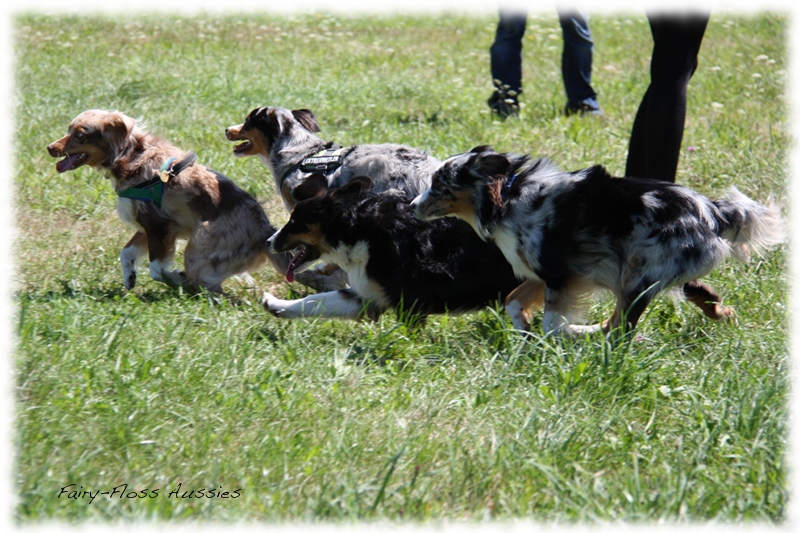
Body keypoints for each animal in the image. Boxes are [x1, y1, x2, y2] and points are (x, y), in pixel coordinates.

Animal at [46, 107, 332, 290]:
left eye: (79, 134)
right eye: (68, 130)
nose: (49, 148)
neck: (132, 156)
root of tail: (266, 233)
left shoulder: (159, 227)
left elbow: (157, 269)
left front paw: (173, 278)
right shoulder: (149, 225)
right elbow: (126, 252)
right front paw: (130, 277)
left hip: (199, 245)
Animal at [262, 175, 544, 324]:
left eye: (294, 221)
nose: (267, 242)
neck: (359, 230)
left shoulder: (411, 303)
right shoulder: (368, 296)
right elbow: (315, 301)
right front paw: (275, 304)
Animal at [412, 145, 780, 336]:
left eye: (439, 185)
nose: (412, 206)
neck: (507, 197)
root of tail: (713, 210)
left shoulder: (560, 274)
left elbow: (552, 324)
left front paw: (561, 332)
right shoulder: (545, 273)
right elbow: (514, 302)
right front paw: (524, 331)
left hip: (636, 277)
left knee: (619, 327)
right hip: (654, 273)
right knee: (701, 293)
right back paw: (724, 314)